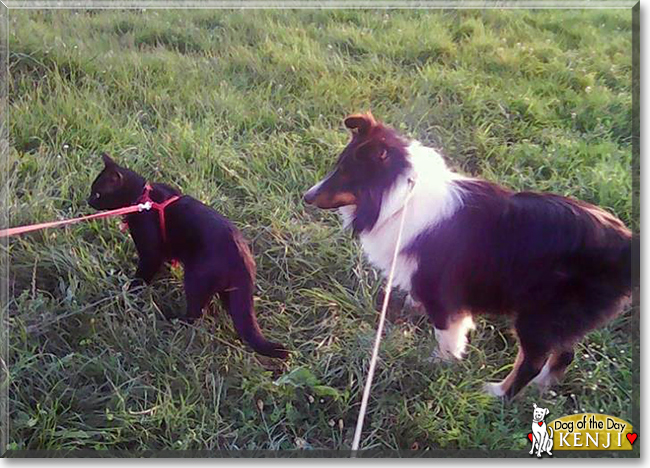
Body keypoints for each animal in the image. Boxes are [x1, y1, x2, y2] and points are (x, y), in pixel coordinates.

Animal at [88, 154, 286, 358]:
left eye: (97, 193)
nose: (88, 199)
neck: (141, 198)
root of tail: (243, 258)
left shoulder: (151, 253)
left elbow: (142, 275)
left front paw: (130, 292)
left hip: (194, 279)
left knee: (196, 313)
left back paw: (172, 320)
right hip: (228, 291)